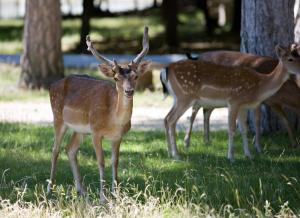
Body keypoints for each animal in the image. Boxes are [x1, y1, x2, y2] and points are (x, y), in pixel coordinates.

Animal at [47, 27, 150, 203]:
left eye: (136, 76)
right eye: (116, 78)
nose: (129, 91)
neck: (113, 120)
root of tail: (52, 86)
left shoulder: (118, 137)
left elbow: (115, 162)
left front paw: (117, 195)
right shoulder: (95, 131)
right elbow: (101, 161)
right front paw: (103, 197)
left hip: (80, 130)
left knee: (70, 149)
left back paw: (82, 191)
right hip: (58, 117)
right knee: (55, 150)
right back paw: (49, 190)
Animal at [162, 44, 300, 161]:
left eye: (298, 56)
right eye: (290, 59)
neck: (259, 86)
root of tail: (166, 69)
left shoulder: (244, 106)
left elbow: (244, 129)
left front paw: (249, 155)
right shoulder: (234, 101)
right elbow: (232, 128)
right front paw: (231, 157)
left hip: (177, 98)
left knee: (167, 118)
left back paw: (169, 153)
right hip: (185, 97)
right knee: (172, 119)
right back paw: (177, 155)